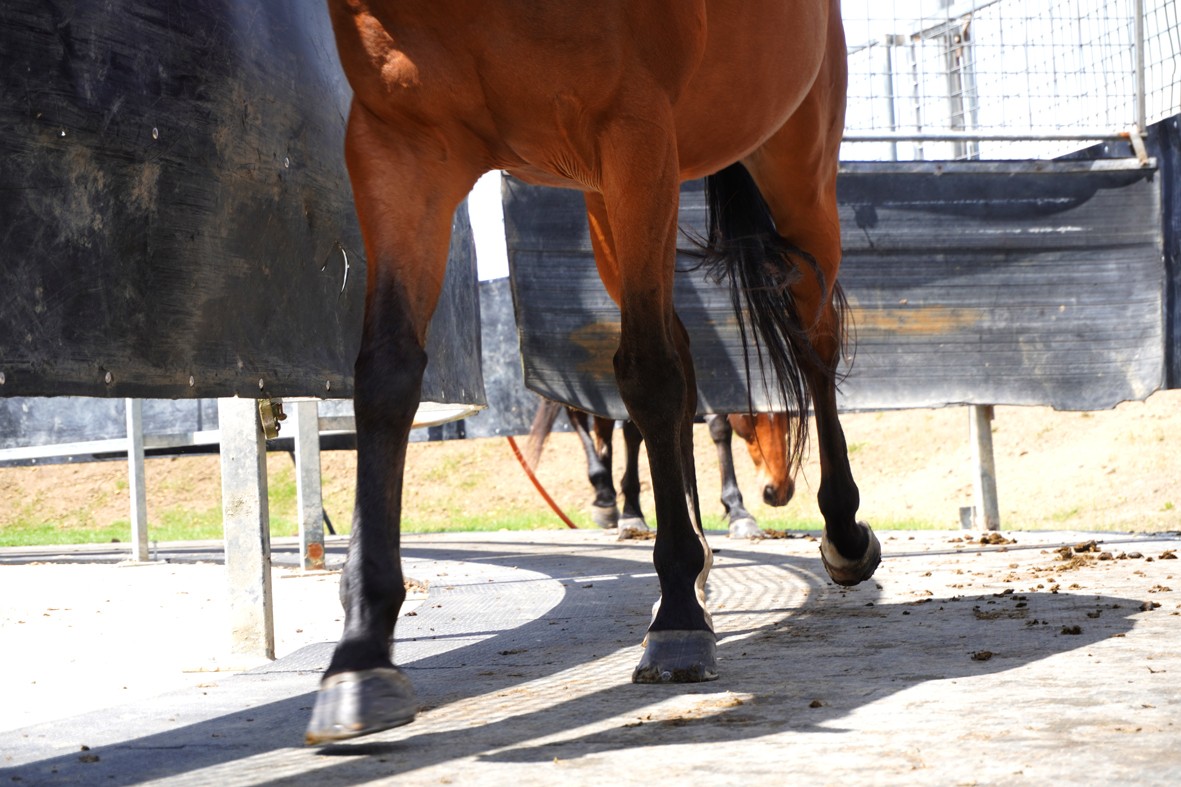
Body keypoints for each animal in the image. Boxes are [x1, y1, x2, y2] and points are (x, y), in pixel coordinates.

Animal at [527, 400, 793, 539]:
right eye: (751, 414)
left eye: (790, 414)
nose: (778, 490)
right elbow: (633, 430)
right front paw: (631, 512)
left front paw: (737, 510)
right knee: (578, 416)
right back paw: (603, 492)